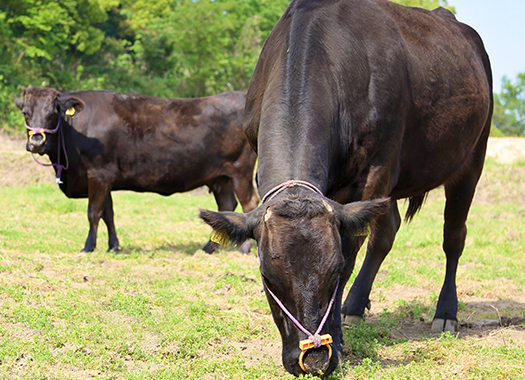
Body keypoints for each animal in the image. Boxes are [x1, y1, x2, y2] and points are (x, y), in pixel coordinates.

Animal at [17, 88, 258, 255]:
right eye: (25, 113)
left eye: (52, 112)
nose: (37, 142)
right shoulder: (105, 178)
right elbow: (108, 213)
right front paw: (113, 246)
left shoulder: (98, 173)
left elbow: (93, 212)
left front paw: (88, 246)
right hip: (221, 178)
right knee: (226, 205)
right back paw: (207, 248)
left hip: (241, 172)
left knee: (249, 204)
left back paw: (244, 249)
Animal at [199, 0, 494, 378]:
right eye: (267, 277)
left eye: (335, 270)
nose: (313, 358)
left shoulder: (375, 169)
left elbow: (353, 247)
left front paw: (337, 339)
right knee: (387, 232)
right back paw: (355, 306)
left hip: (472, 158)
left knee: (453, 236)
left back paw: (445, 313)